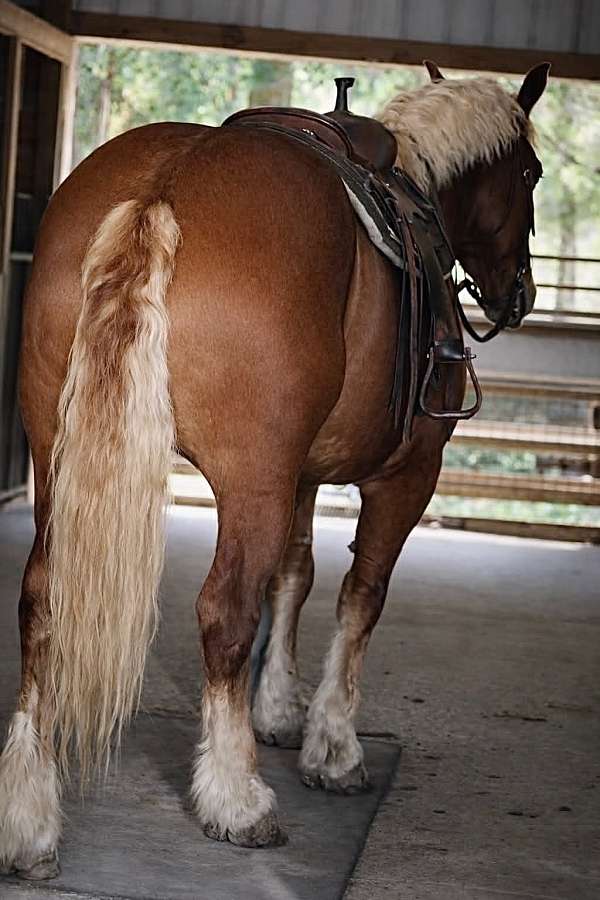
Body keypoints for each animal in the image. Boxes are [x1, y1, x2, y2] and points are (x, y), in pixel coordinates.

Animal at [0, 61, 548, 877]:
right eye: (532, 173)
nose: (520, 294)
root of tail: (165, 187)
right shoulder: (405, 477)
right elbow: (359, 598)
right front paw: (333, 745)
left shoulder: (303, 474)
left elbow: (295, 576)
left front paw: (280, 708)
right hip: (249, 481)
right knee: (225, 612)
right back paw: (237, 798)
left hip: (58, 458)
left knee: (42, 603)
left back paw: (26, 818)